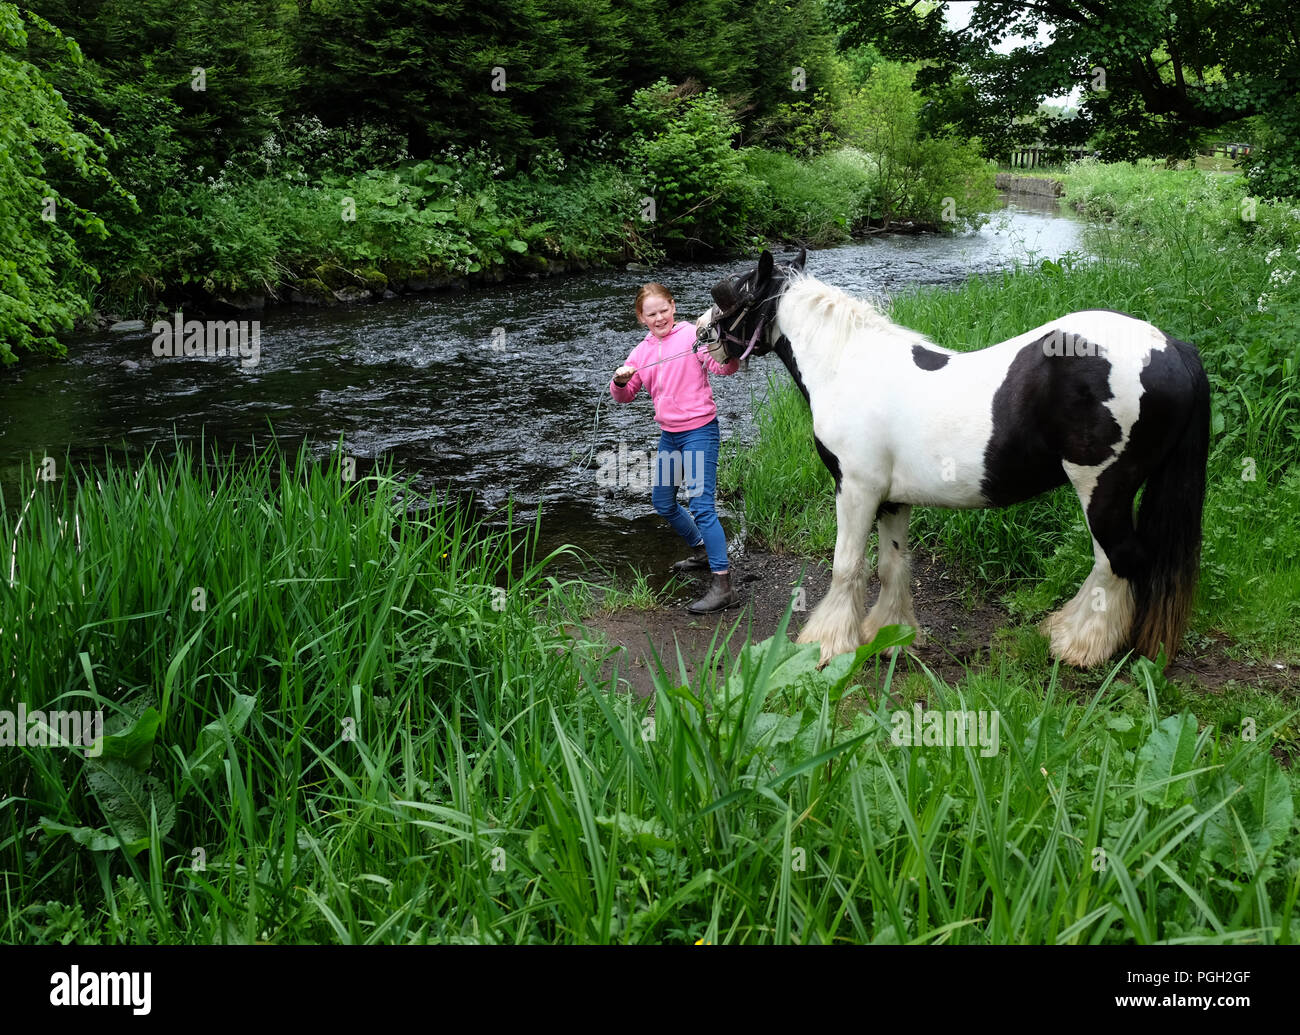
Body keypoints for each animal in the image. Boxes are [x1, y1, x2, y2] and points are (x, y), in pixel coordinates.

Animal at [695, 249, 1210, 669]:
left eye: (725, 295)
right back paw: (1066, 630)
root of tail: (1172, 347)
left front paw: (825, 644)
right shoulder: (891, 498)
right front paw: (890, 637)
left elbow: (847, 565)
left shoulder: (856, 488)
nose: (702, 337)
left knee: (1116, 560)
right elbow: (891, 566)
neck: (846, 365)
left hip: (1103, 489)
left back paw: (1081, 647)